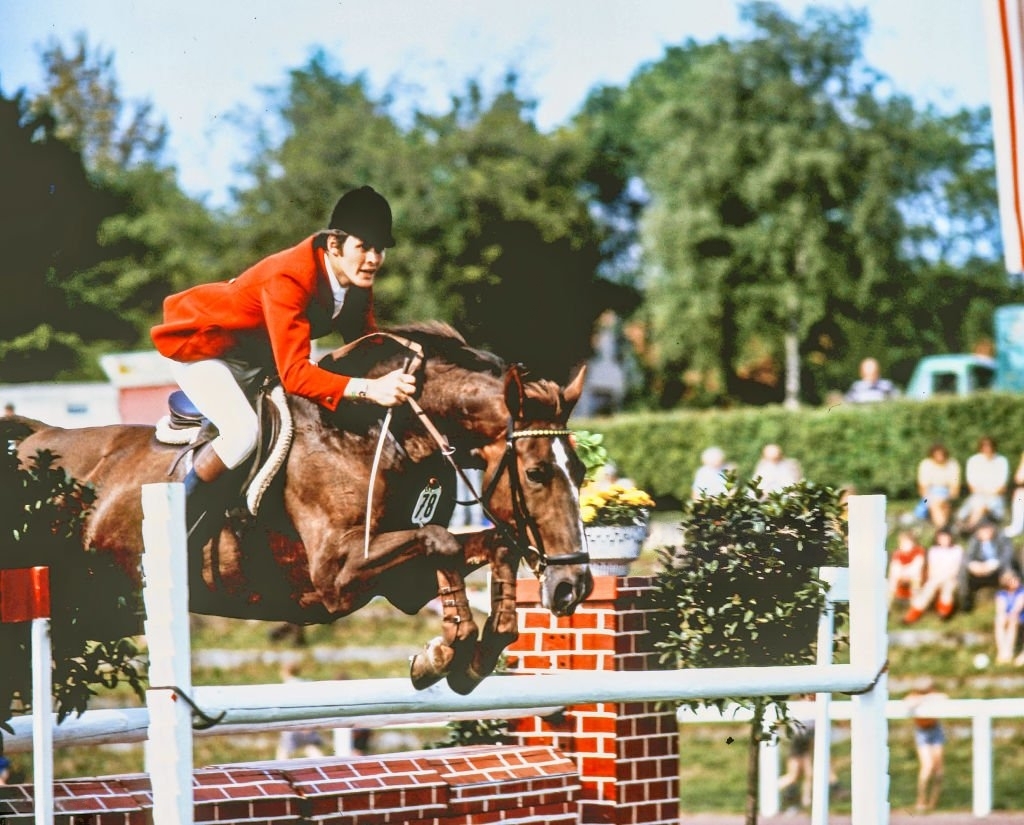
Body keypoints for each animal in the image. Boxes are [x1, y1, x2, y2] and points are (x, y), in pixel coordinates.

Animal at [6, 325, 593, 696]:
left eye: (583, 471)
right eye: (538, 473)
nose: (574, 587)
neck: (383, 431)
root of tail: (32, 439)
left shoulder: (397, 581)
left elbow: (486, 546)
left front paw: (465, 657)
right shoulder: (338, 575)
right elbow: (443, 541)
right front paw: (444, 657)